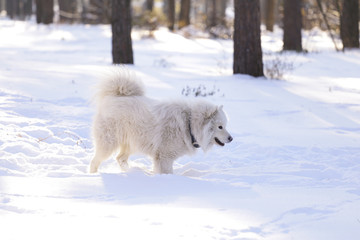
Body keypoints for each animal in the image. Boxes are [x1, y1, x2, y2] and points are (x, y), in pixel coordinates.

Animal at [88, 68, 232, 173]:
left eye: (225, 125)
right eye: (220, 127)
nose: (231, 138)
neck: (189, 124)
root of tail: (113, 97)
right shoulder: (164, 157)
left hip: (132, 143)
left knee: (120, 159)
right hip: (109, 143)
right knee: (95, 161)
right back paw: (94, 175)